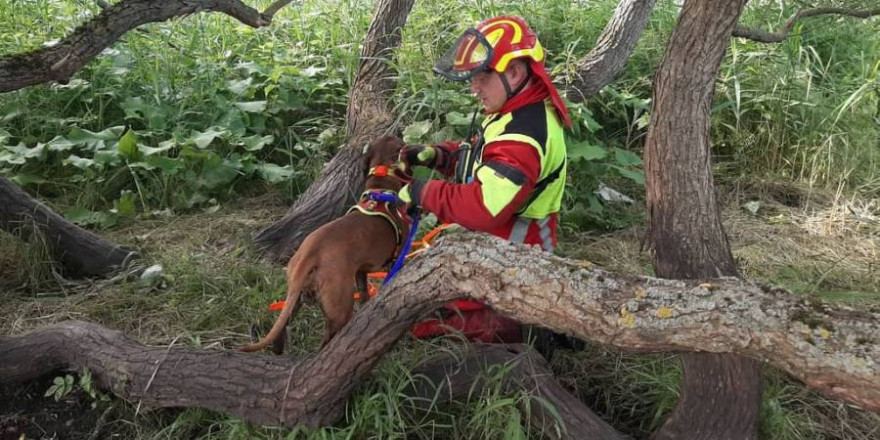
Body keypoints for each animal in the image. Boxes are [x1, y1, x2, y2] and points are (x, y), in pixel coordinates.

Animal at [239, 136, 408, 356]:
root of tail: (311, 252)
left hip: (295, 299)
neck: (380, 188)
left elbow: (363, 295)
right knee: (325, 344)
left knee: (280, 331)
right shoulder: (396, 259)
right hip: (339, 307)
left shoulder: (361, 271)